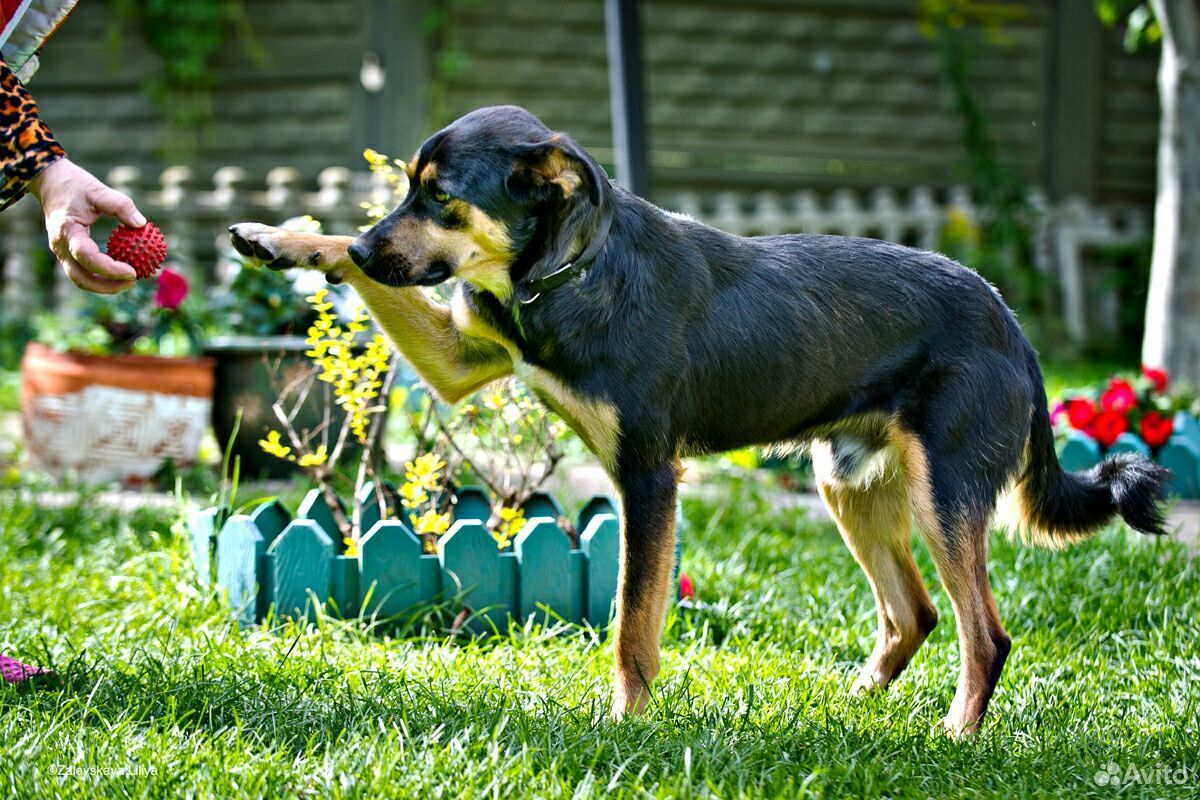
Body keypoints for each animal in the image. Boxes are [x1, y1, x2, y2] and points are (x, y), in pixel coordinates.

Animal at [229, 106, 1166, 738]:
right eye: (405, 193)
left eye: (442, 197)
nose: (368, 248)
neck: (568, 271)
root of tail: (1011, 323)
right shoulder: (460, 362)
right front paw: (284, 239)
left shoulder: (648, 477)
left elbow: (630, 622)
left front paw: (627, 720)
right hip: (849, 486)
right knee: (915, 615)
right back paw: (856, 706)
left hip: (945, 496)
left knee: (985, 634)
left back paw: (955, 736)